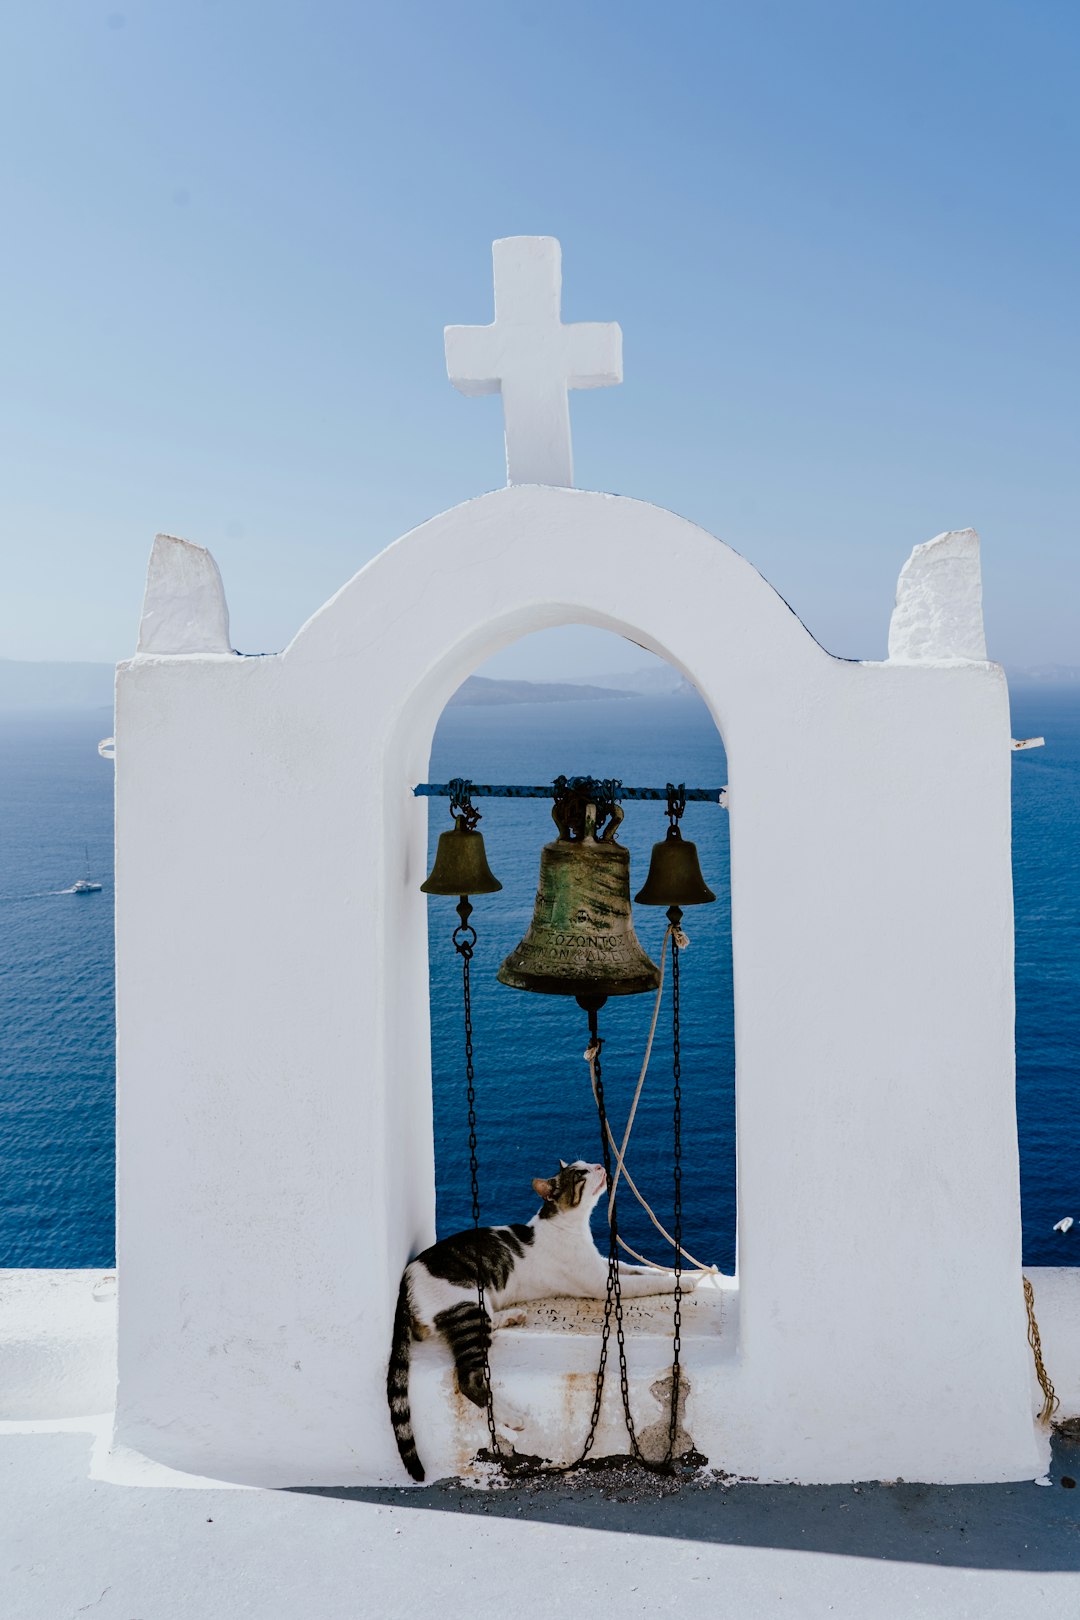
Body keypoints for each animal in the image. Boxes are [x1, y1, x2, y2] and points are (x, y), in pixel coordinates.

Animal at [388, 1166, 689, 1483]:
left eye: (587, 1164)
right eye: (580, 1174)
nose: (599, 1166)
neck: (570, 1227)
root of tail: (406, 1281)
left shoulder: (606, 1266)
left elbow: (638, 1269)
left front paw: (673, 1273)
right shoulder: (600, 1284)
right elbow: (645, 1282)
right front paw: (685, 1283)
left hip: (478, 1309)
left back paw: (512, 1316)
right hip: (467, 1308)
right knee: (468, 1379)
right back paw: (512, 1417)